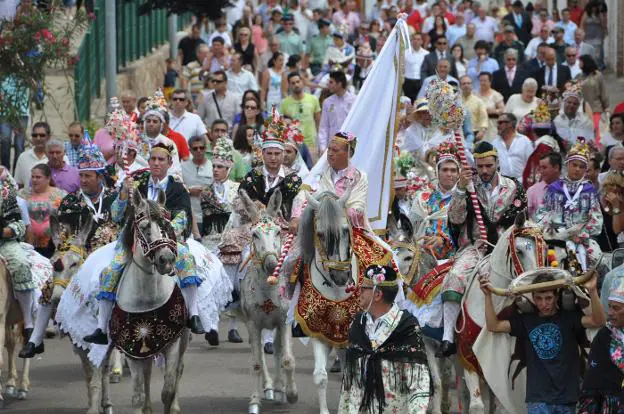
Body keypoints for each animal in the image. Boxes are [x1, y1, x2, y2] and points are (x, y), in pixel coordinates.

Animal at [111, 188, 188, 414]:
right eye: (144, 227)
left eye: (167, 226)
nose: (166, 260)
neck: (147, 298)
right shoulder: (133, 349)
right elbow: (137, 396)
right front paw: (143, 406)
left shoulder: (172, 342)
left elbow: (168, 391)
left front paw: (171, 405)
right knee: (146, 375)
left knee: (178, 371)